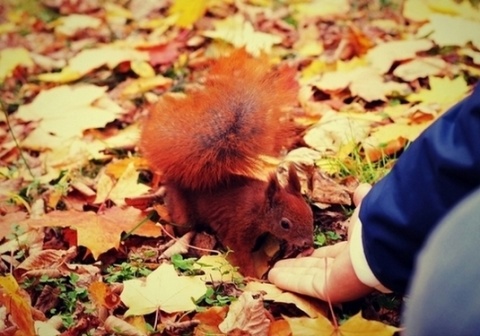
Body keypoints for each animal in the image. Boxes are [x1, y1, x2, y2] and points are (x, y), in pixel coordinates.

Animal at [139, 49, 316, 276]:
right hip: (182, 210)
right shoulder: (238, 226)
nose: (307, 243)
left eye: (309, 212)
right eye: (285, 224)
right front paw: (253, 277)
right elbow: (239, 252)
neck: (258, 207)